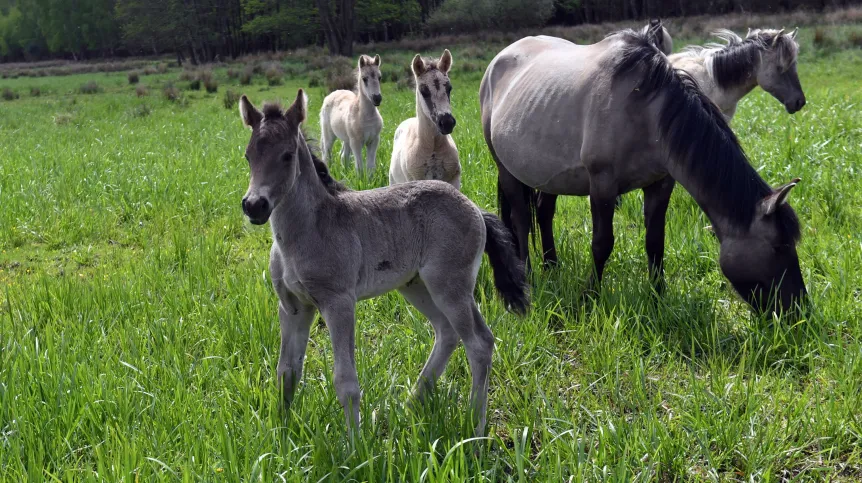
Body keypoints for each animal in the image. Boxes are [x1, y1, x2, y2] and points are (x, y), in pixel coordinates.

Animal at [240, 90, 528, 438]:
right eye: (248, 156)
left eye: (287, 156)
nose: (254, 205)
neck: (307, 230)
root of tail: (474, 207)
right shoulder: (293, 307)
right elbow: (286, 372)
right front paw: (279, 435)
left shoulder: (338, 303)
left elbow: (346, 382)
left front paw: (355, 445)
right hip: (417, 287)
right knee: (447, 332)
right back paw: (408, 405)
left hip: (450, 287)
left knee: (480, 343)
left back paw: (475, 429)